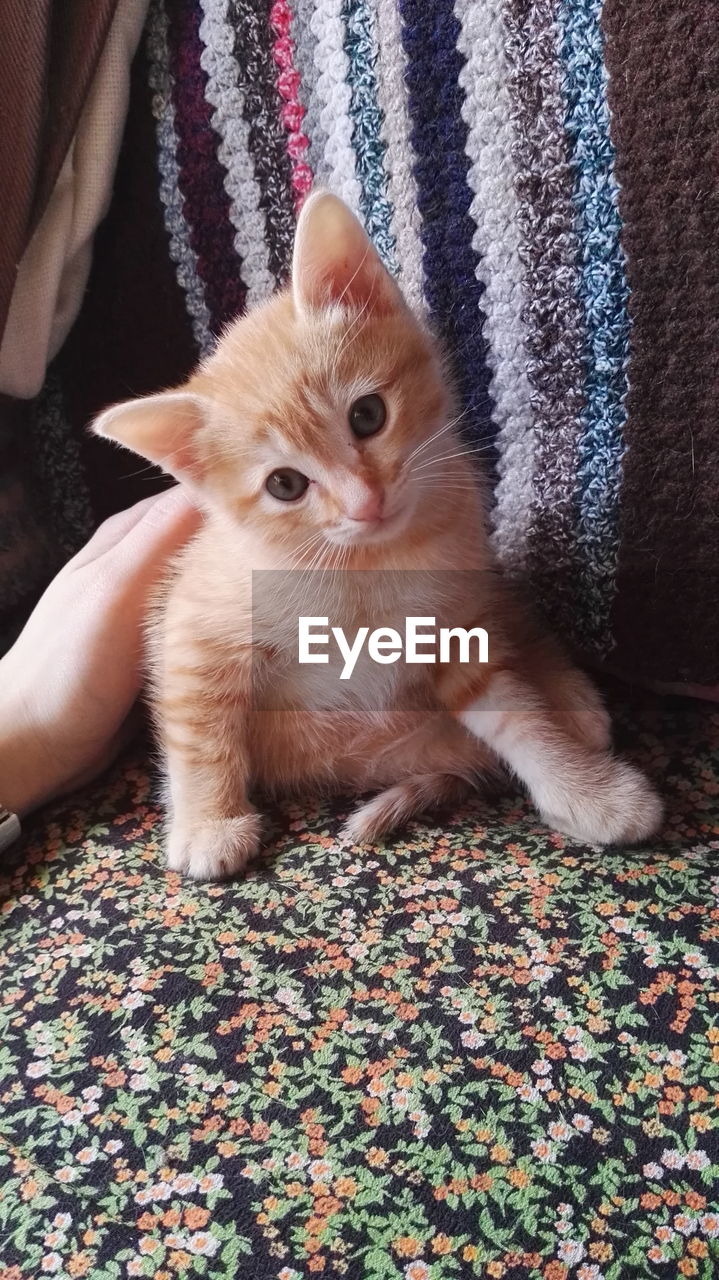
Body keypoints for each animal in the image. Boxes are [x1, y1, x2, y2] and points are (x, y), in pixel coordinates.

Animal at [90, 189, 660, 880]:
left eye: (367, 415)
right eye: (285, 484)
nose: (366, 502)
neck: (364, 566)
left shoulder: (451, 629)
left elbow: (518, 716)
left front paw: (587, 790)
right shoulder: (194, 627)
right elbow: (200, 730)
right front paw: (208, 823)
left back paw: (572, 698)